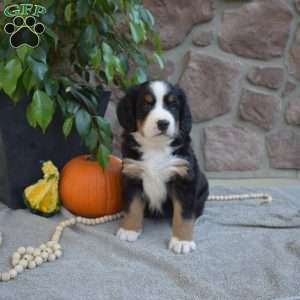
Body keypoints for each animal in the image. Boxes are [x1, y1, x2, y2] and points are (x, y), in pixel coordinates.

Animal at [116, 81, 210, 254]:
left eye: (173, 105)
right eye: (146, 104)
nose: (163, 123)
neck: (156, 147)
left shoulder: (183, 179)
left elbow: (184, 214)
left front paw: (182, 241)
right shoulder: (132, 175)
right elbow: (132, 207)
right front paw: (129, 230)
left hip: (203, 186)